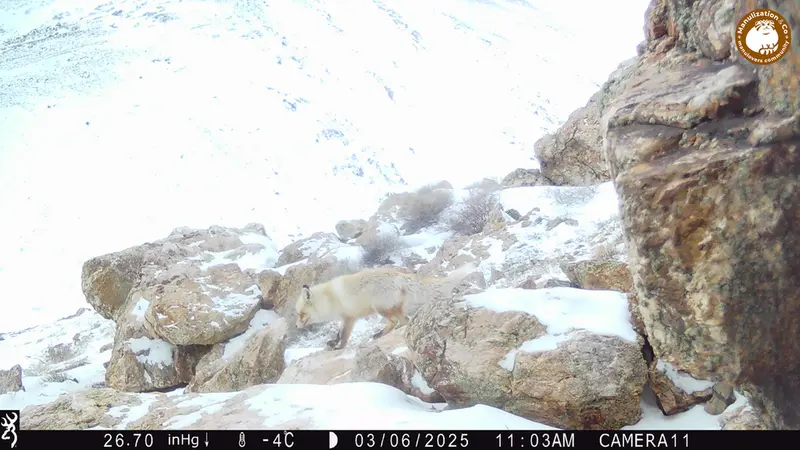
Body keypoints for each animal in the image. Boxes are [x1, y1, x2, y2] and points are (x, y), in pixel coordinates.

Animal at [295, 263, 477, 350]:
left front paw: (338, 347)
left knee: (396, 322)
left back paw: (380, 334)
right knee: (404, 321)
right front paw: (333, 342)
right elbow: (339, 334)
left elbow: (344, 335)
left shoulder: (349, 317)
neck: (329, 298)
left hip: (379, 308)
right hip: (393, 309)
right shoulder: (346, 318)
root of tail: (399, 276)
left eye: (301, 314)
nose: (296, 326)